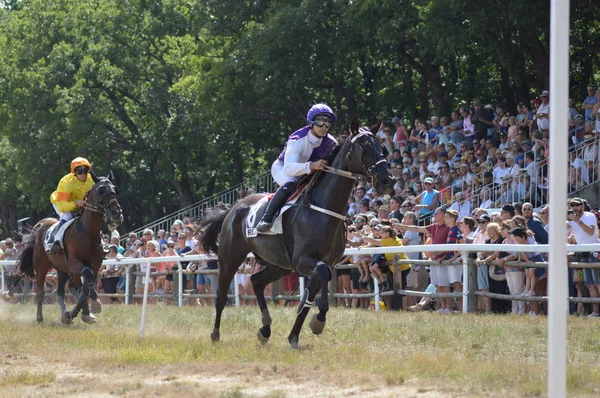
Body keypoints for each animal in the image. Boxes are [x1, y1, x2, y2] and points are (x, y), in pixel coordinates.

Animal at [2, 171, 123, 324]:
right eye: (101, 189)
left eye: (115, 190)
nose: (116, 213)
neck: (88, 232)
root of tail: (40, 226)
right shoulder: (74, 263)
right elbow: (87, 278)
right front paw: (94, 303)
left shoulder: (94, 266)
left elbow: (84, 291)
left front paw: (81, 313)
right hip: (41, 265)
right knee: (39, 289)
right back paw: (37, 315)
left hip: (61, 268)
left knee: (63, 289)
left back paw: (71, 313)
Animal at [199, 116, 396, 346]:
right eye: (363, 147)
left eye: (382, 147)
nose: (387, 181)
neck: (323, 209)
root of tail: (232, 209)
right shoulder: (303, 260)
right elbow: (320, 280)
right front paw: (318, 321)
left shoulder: (319, 262)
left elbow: (310, 296)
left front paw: (296, 334)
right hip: (230, 256)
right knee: (221, 294)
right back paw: (215, 333)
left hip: (280, 264)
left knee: (256, 281)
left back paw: (265, 329)